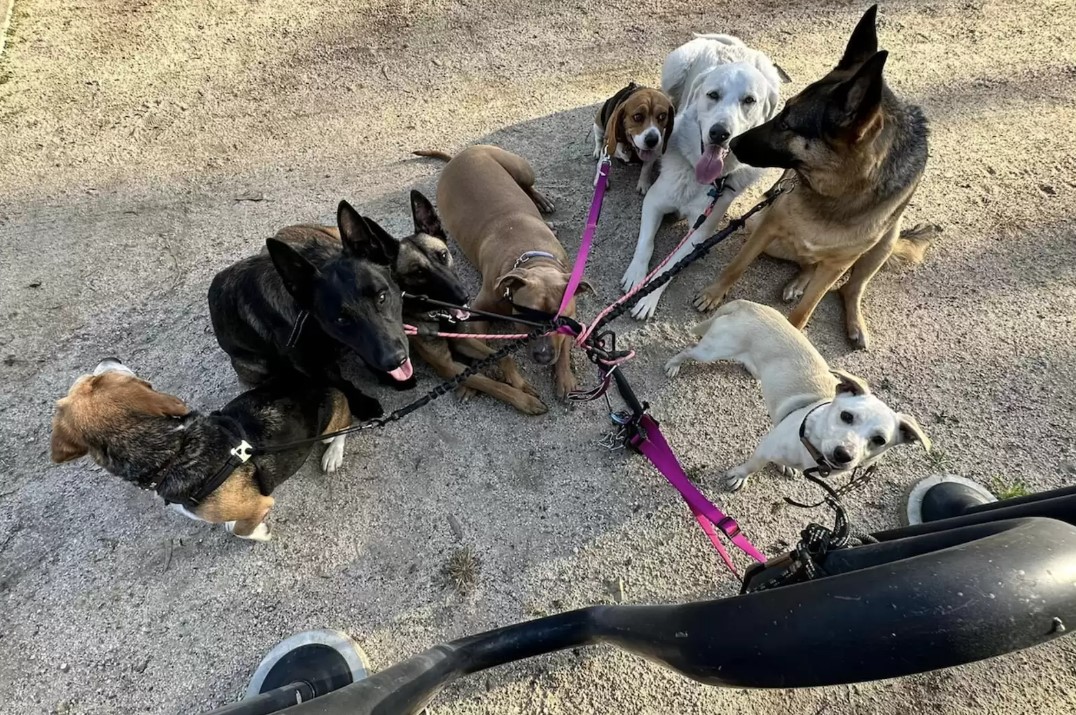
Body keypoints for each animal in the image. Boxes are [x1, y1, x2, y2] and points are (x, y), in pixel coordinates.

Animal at [51, 357, 352, 542]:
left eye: (96, 379)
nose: (110, 358)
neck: (174, 452)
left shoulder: (260, 504)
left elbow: (241, 530)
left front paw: (261, 532)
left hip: (332, 417)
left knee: (345, 421)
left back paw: (333, 453)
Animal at [413, 144, 598, 396]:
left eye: (560, 320)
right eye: (526, 317)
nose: (543, 356)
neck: (532, 257)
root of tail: (459, 156)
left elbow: (564, 345)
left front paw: (564, 376)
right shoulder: (478, 313)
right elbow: (484, 349)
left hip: (522, 170)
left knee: (528, 188)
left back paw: (543, 202)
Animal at [619, 34, 787, 318]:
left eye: (749, 100)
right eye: (713, 95)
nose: (719, 133)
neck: (701, 178)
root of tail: (737, 46)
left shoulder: (699, 233)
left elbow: (668, 269)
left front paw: (647, 297)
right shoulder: (654, 202)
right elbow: (645, 244)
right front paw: (635, 276)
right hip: (674, 71)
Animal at [658, 299, 929, 491]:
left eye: (879, 440)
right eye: (846, 416)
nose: (843, 454)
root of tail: (749, 305)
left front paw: (784, 467)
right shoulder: (764, 448)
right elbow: (752, 466)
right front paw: (739, 477)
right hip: (712, 350)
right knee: (688, 351)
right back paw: (673, 365)